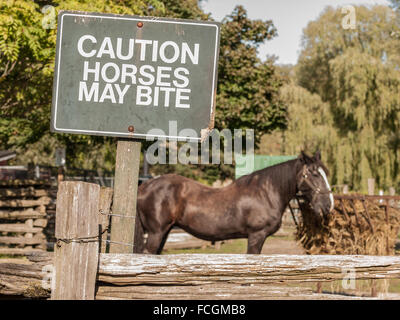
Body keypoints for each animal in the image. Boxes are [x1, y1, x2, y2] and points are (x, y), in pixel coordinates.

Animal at [134, 151, 334, 254]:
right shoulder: (256, 236)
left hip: (164, 232)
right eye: (314, 174)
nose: (328, 205)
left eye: (325, 172)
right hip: (156, 233)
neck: (266, 193)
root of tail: (145, 186)